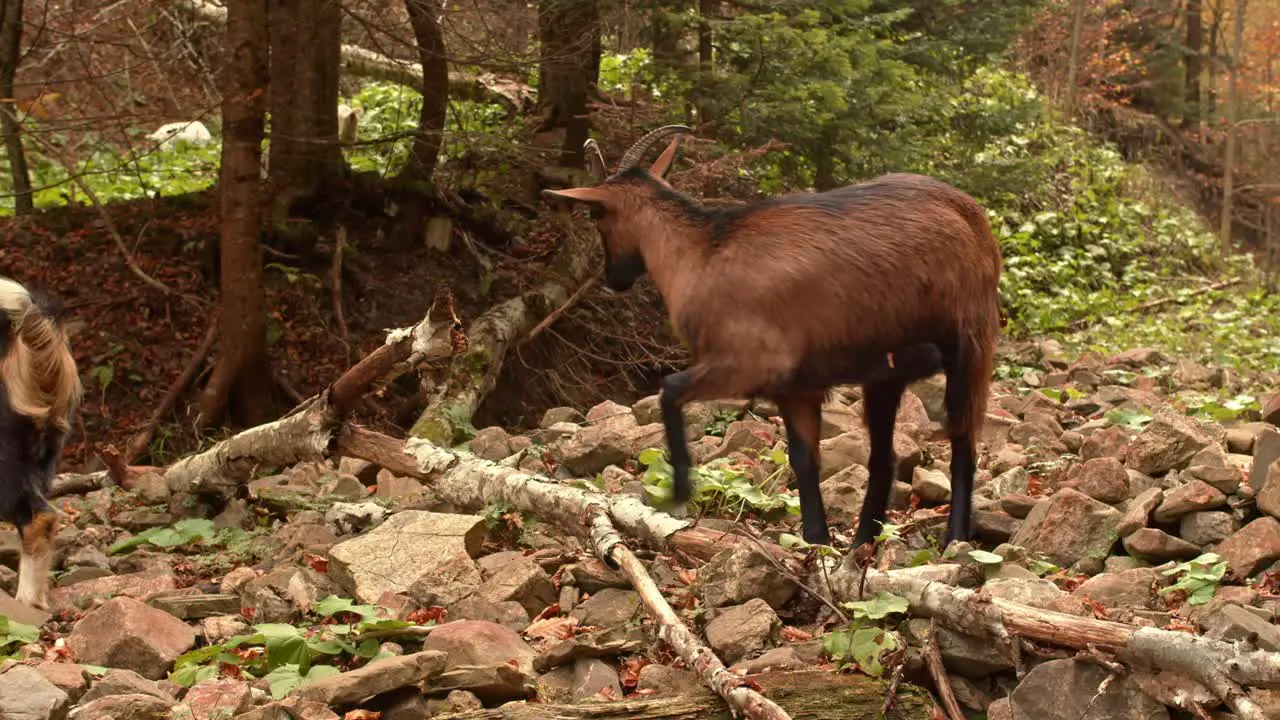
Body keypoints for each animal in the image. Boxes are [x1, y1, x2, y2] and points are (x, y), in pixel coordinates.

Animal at [540, 127, 998, 543]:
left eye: (596, 215)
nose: (613, 277)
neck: (702, 253)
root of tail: (972, 214)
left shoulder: (747, 363)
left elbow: (669, 389)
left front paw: (679, 491)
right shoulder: (796, 388)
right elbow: (803, 461)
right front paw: (816, 540)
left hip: (971, 344)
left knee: (963, 437)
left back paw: (954, 537)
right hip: (887, 376)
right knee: (886, 454)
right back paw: (864, 541)